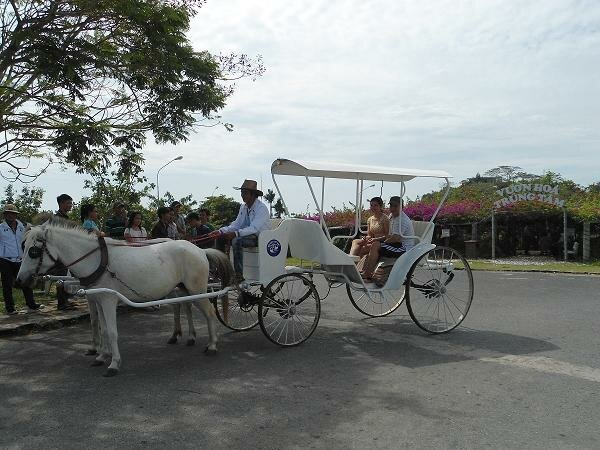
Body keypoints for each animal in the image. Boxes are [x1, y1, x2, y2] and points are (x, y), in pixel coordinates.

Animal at [16, 218, 232, 376]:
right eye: (23, 247)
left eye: (33, 251)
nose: (19, 281)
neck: (96, 260)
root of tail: (200, 250)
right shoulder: (98, 299)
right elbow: (102, 329)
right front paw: (101, 357)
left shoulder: (108, 299)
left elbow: (112, 332)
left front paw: (114, 364)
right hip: (184, 289)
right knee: (187, 307)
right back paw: (193, 339)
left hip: (197, 289)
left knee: (210, 312)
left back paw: (212, 346)